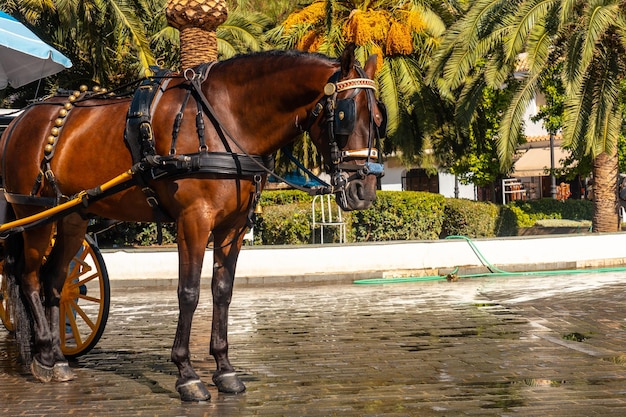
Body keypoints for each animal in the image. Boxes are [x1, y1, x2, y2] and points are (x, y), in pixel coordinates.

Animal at [0, 45, 382, 400]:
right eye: (346, 115)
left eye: (379, 117)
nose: (363, 190)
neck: (225, 118)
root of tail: (22, 117)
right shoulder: (193, 221)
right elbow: (188, 293)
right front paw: (187, 375)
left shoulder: (233, 228)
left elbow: (222, 291)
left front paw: (225, 370)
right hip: (34, 214)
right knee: (28, 277)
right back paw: (44, 354)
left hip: (71, 217)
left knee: (54, 281)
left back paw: (55, 358)